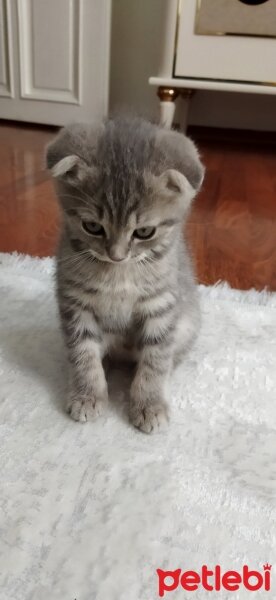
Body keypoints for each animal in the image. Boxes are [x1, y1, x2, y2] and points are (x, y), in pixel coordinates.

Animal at [46, 117, 204, 434]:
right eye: (92, 226)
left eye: (144, 232)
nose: (116, 255)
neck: (119, 273)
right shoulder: (76, 304)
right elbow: (83, 353)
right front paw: (87, 395)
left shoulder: (162, 306)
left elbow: (156, 359)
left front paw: (149, 404)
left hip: (188, 323)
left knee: (170, 356)